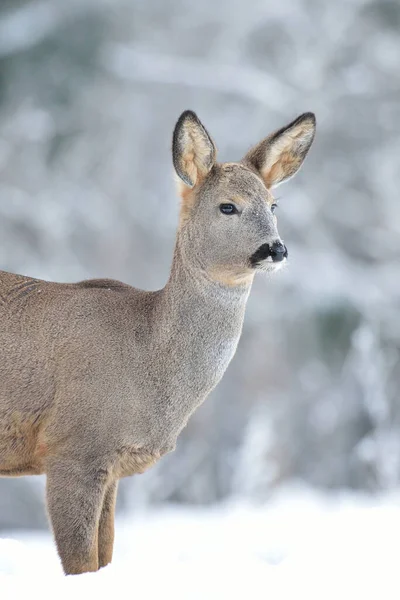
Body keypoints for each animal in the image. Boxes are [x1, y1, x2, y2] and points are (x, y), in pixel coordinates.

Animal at [0, 110, 318, 576]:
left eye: (274, 205)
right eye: (227, 205)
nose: (275, 249)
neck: (148, 357)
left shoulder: (111, 466)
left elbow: (105, 558)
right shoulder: (73, 446)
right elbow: (81, 563)